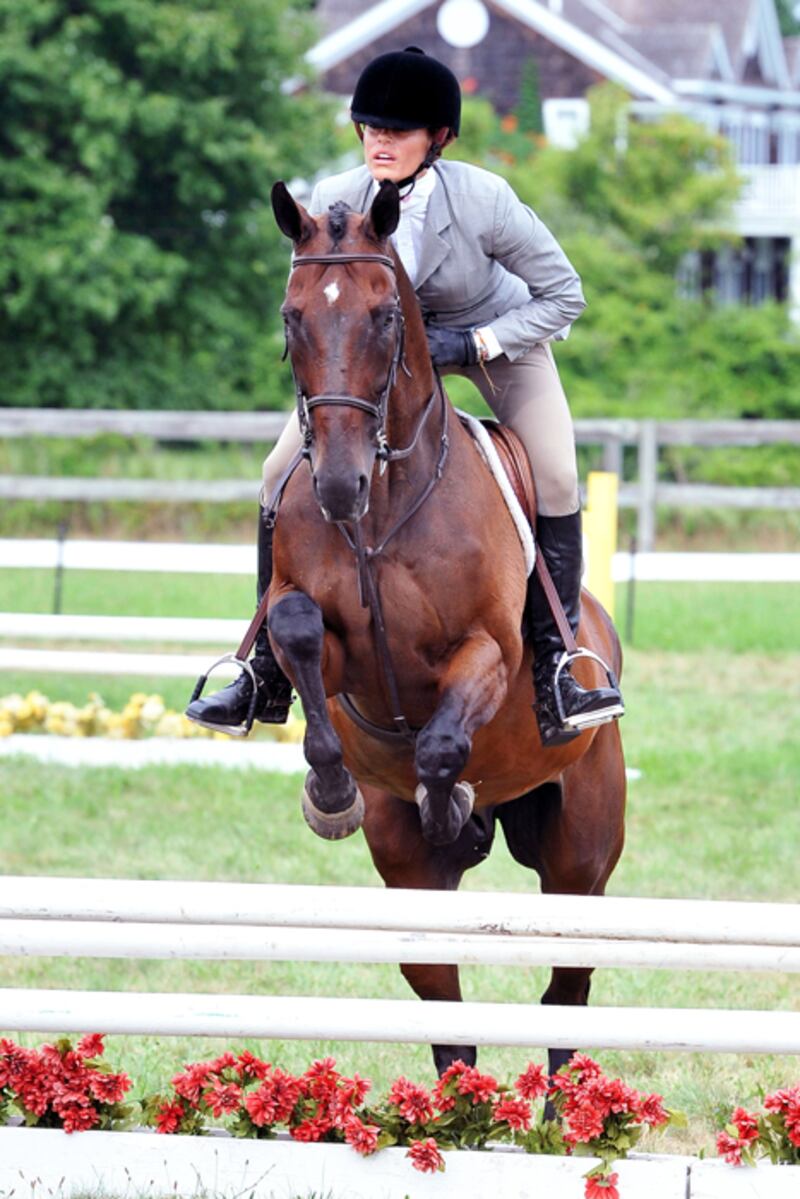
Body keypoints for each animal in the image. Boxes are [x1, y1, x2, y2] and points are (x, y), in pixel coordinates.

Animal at [267, 178, 626, 1078]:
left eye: (384, 315)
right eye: (292, 316)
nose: (338, 485)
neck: (384, 505)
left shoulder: (489, 653)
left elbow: (440, 737)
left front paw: (450, 794)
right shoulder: (332, 647)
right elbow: (296, 631)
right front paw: (330, 794)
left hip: (579, 857)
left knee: (565, 999)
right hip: (408, 877)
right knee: (447, 1010)